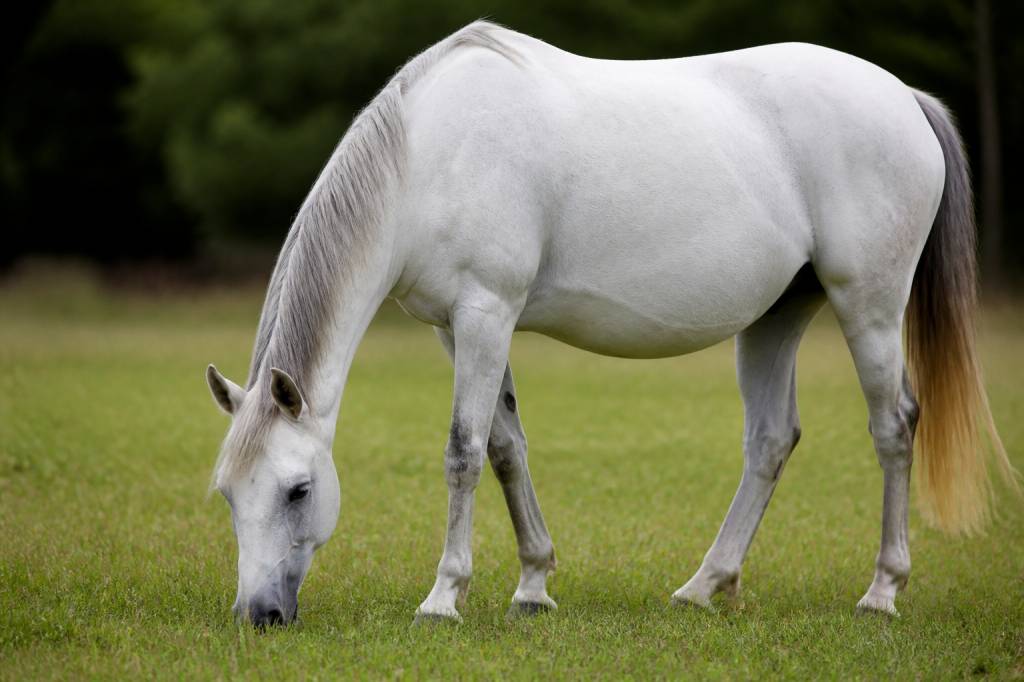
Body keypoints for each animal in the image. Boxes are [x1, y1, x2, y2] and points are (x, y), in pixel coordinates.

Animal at [205, 21, 1015, 626]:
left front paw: (443, 597)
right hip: (776, 319)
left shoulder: (486, 311)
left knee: (894, 427)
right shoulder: (457, 327)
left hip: (868, 306)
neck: (431, 154)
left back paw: (881, 592)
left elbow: (464, 451)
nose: (259, 615)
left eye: (297, 490)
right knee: (770, 440)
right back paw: (703, 586)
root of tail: (904, 97)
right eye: (229, 495)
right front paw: (533, 585)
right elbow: (505, 447)